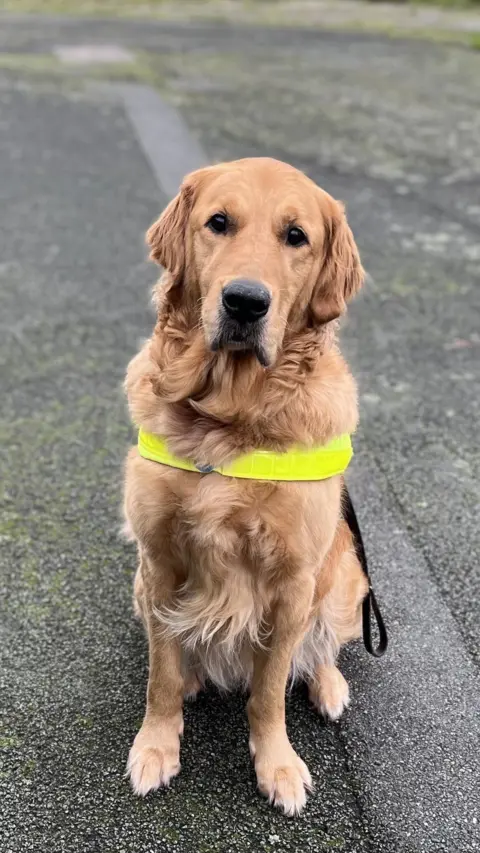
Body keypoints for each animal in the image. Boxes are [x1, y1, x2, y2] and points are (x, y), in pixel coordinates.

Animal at [123, 156, 368, 816]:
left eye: (296, 236)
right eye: (218, 223)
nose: (245, 302)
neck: (230, 417)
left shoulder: (292, 583)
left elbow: (269, 691)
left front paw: (277, 764)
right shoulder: (158, 564)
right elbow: (161, 676)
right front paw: (156, 745)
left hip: (348, 579)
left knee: (323, 647)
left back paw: (330, 684)